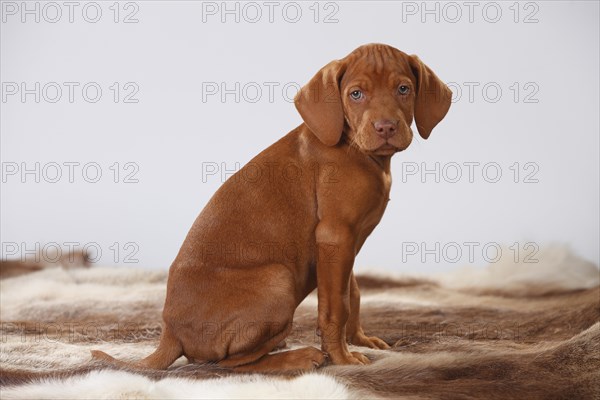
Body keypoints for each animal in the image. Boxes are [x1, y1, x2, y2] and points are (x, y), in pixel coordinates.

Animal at [92, 43, 450, 372]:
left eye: (403, 89)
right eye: (356, 94)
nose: (386, 127)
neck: (357, 149)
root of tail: (171, 333)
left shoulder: (344, 244)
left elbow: (353, 293)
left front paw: (360, 340)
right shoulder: (335, 235)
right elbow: (336, 306)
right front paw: (343, 358)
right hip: (277, 279)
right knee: (226, 363)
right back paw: (297, 356)